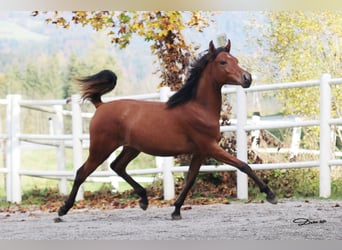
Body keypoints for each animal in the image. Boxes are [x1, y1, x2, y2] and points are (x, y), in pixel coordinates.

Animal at [58, 40, 278, 220]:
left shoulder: (200, 152)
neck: (198, 108)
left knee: (117, 166)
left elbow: (190, 179)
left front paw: (176, 210)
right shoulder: (210, 147)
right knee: (82, 172)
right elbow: (243, 165)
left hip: (131, 148)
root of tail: (100, 106)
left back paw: (144, 199)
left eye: (236, 60)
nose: (247, 78)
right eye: (223, 62)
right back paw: (63, 210)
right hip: (101, 148)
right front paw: (271, 195)